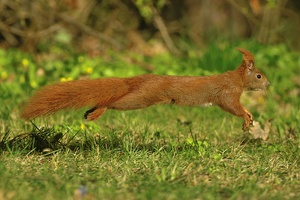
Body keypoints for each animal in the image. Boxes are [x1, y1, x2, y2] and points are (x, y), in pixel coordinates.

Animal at [21, 48, 270, 131]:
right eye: (259, 75)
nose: (268, 85)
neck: (237, 79)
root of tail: (143, 78)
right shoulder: (227, 93)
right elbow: (232, 106)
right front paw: (247, 117)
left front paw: (249, 117)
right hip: (143, 97)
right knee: (114, 102)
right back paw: (97, 111)